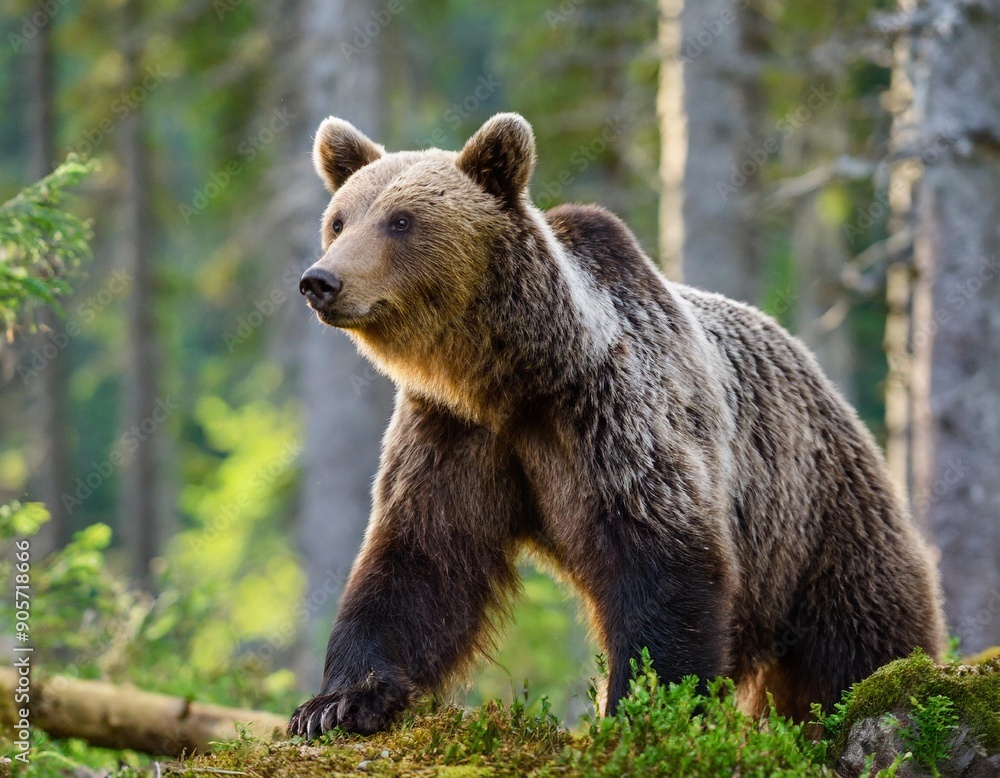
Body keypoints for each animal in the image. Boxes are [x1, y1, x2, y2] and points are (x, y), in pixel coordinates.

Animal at [288, 112, 946, 738]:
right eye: (340, 220)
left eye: (401, 221)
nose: (320, 280)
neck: (511, 378)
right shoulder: (454, 431)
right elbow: (419, 559)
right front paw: (336, 703)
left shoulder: (611, 413)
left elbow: (661, 560)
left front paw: (644, 708)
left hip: (818, 519)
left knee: (859, 637)